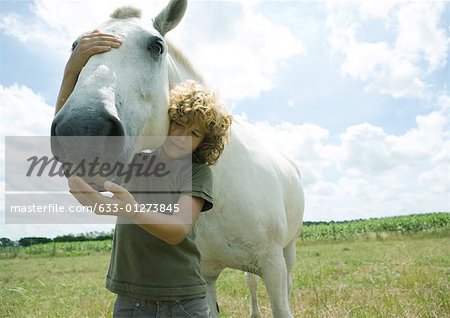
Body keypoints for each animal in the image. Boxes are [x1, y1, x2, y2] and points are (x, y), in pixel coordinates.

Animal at [51, 1, 306, 316]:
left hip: (287, 251)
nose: (83, 129)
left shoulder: (273, 266)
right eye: (76, 46)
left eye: (156, 46)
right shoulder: (205, 276)